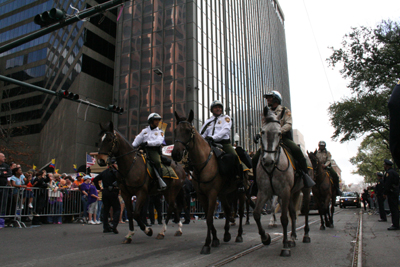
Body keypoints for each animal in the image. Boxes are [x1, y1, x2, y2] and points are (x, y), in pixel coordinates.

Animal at [173, 110, 247, 255]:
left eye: (188, 130)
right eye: (175, 130)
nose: (175, 154)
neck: (203, 163)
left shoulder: (212, 194)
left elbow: (209, 218)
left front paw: (207, 244)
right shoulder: (202, 195)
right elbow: (209, 217)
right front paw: (216, 239)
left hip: (240, 192)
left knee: (240, 212)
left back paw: (239, 235)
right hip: (224, 194)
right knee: (228, 210)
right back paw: (227, 234)